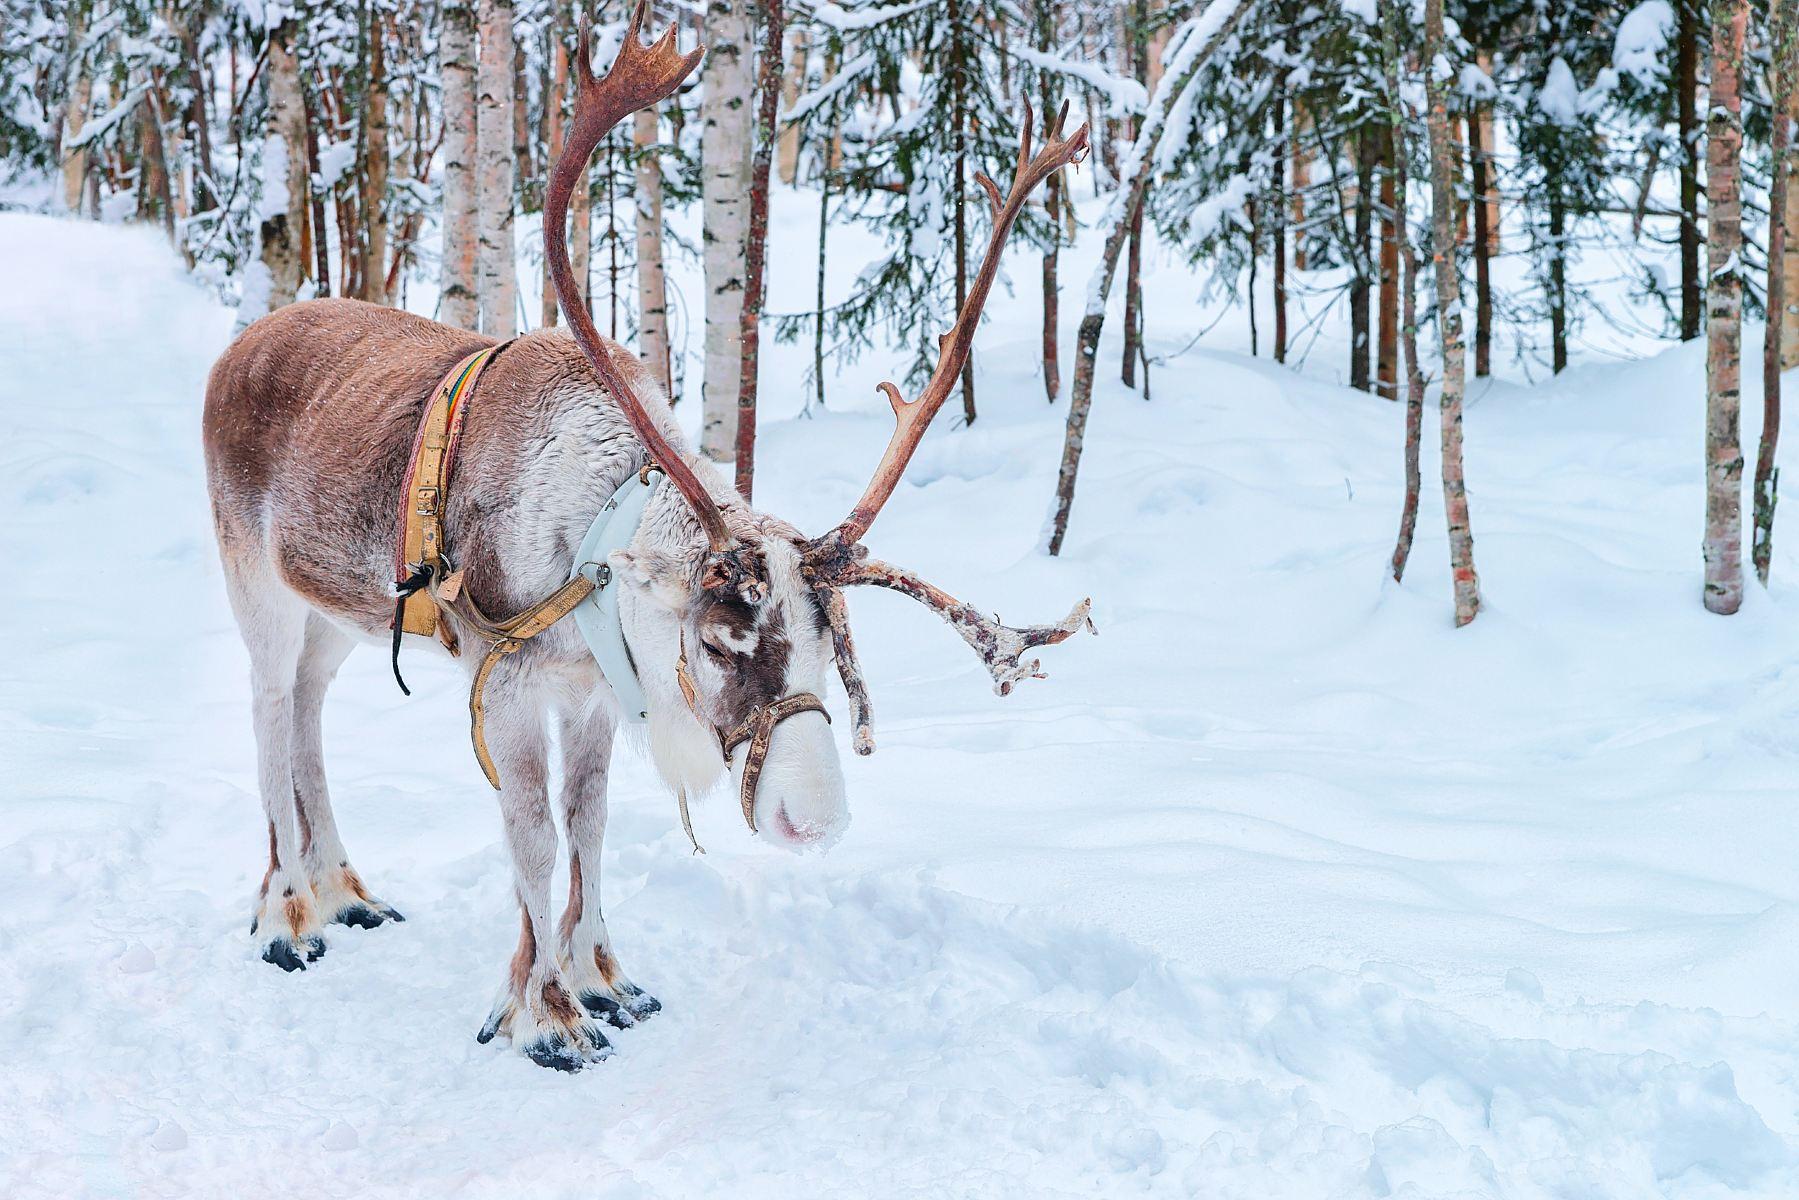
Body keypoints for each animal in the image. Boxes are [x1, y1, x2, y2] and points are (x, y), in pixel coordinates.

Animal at [201, 2, 1093, 1071]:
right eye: (717, 639)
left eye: (831, 648)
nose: (813, 821)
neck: (590, 556)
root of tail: (236, 349)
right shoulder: (502, 685)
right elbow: (535, 839)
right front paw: (547, 1018)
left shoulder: (591, 693)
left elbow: (587, 828)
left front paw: (603, 980)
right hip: (254, 585)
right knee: (264, 712)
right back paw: (287, 917)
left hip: (340, 612)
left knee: (308, 710)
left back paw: (348, 893)